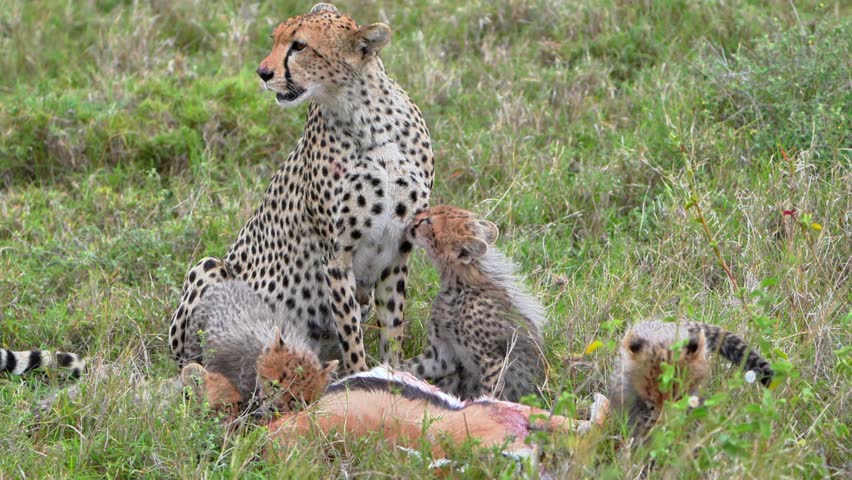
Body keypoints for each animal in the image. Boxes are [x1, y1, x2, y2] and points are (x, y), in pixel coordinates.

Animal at [167, 3, 434, 374]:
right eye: (275, 40)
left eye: (300, 46)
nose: (262, 72)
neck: (367, 119)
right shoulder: (336, 255)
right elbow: (351, 333)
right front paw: (359, 378)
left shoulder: (398, 249)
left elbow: (392, 329)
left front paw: (393, 376)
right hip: (209, 269)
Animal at [402, 206, 547, 402]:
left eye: (428, 221)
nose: (413, 218)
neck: (459, 284)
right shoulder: (441, 356)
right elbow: (407, 365)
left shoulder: (493, 361)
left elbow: (489, 393)